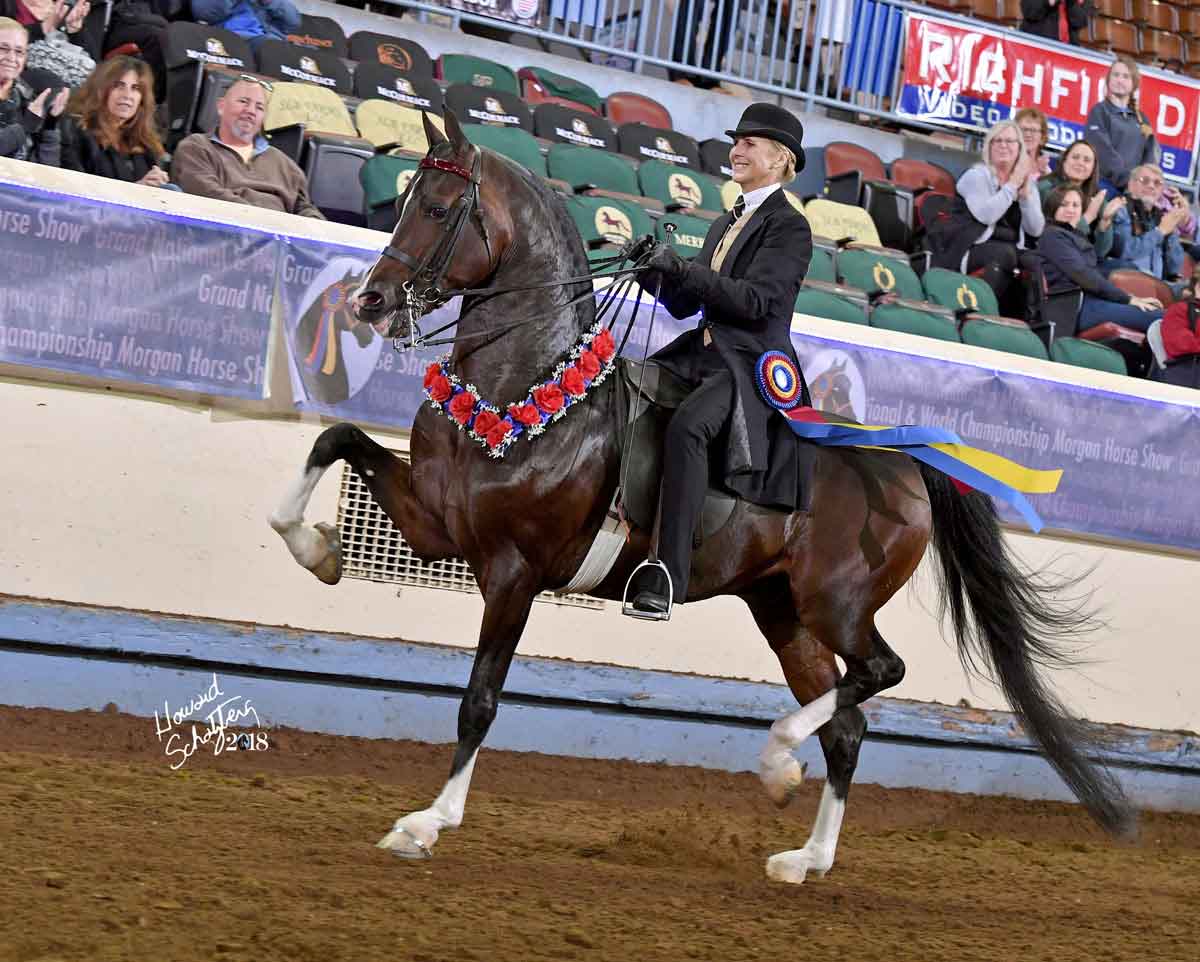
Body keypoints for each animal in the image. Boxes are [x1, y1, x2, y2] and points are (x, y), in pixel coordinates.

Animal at [269, 111, 1134, 883]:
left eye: (442, 208)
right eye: (405, 195)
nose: (371, 303)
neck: (526, 386)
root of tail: (899, 461)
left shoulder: (513, 571)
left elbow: (479, 699)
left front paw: (426, 824)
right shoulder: (437, 525)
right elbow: (333, 440)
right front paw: (317, 552)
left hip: (837, 603)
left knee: (879, 672)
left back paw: (779, 756)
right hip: (783, 611)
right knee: (847, 724)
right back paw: (805, 855)